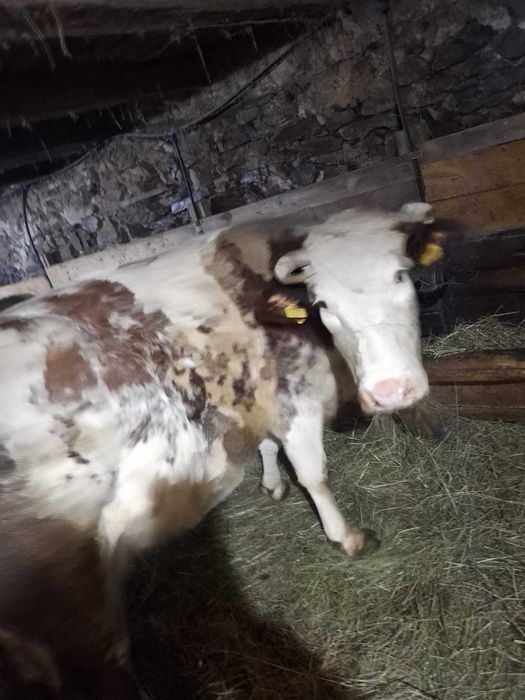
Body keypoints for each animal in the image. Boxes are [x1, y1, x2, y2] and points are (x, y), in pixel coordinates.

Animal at [0, 203, 445, 697]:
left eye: (401, 276)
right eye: (323, 303)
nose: (391, 390)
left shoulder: (257, 395)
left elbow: (268, 447)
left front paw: (272, 484)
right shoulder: (295, 401)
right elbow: (314, 475)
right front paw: (346, 538)